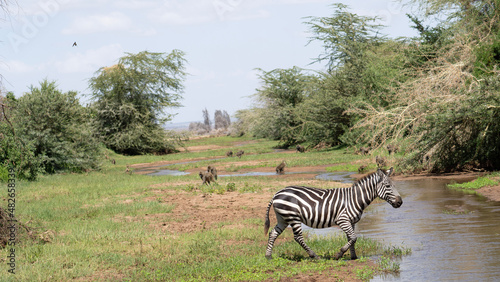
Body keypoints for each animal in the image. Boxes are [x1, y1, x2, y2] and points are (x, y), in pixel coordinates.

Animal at [266, 167, 402, 260]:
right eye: (388, 186)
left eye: (394, 185)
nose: (400, 202)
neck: (355, 198)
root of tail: (276, 193)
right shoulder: (342, 220)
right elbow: (354, 238)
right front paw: (339, 254)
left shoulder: (351, 222)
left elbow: (351, 238)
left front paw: (353, 256)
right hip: (293, 217)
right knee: (298, 237)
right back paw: (314, 255)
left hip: (283, 218)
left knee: (273, 233)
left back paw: (268, 256)